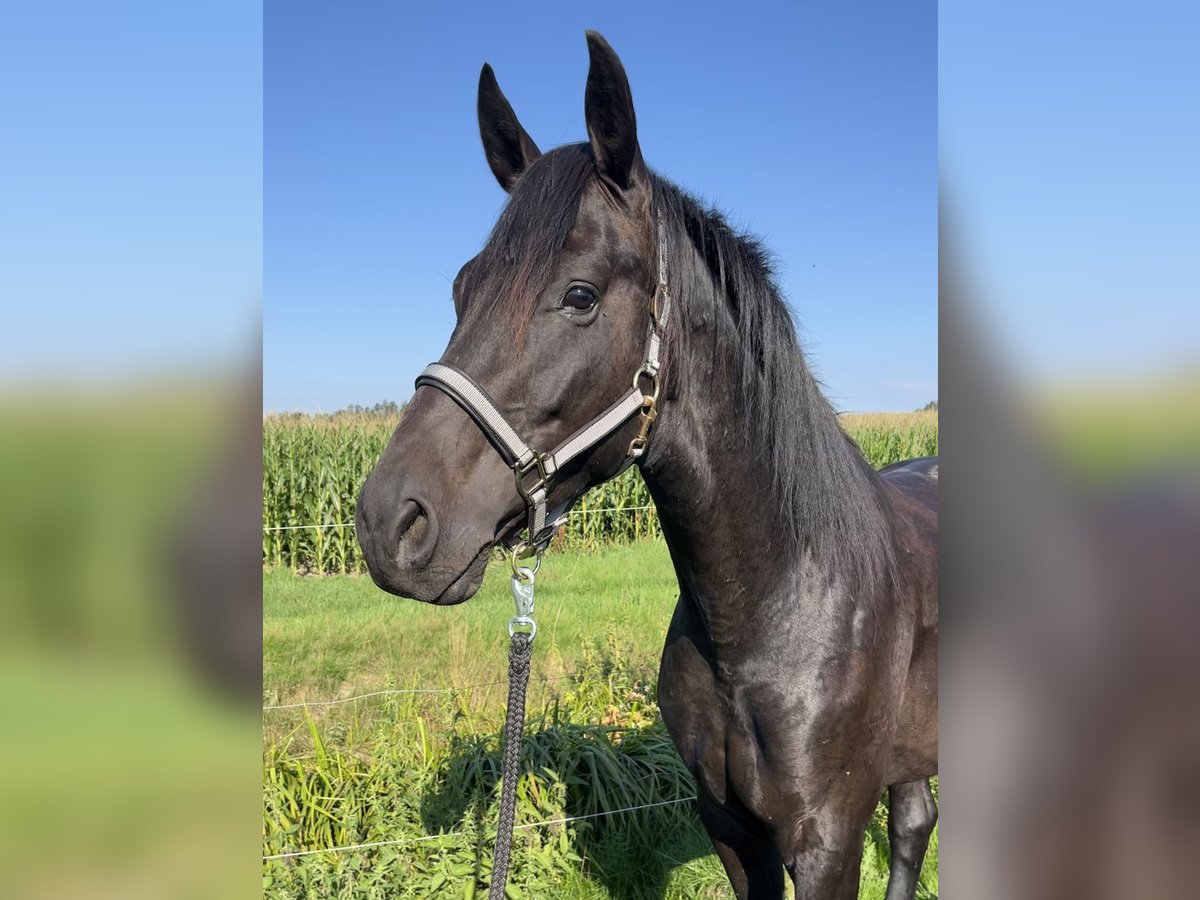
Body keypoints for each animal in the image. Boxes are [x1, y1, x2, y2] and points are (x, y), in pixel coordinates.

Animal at [355, 31, 936, 897]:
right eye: (462, 287)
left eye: (580, 295)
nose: (389, 524)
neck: (774, 612)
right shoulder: (731, 828)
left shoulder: (827, 843)